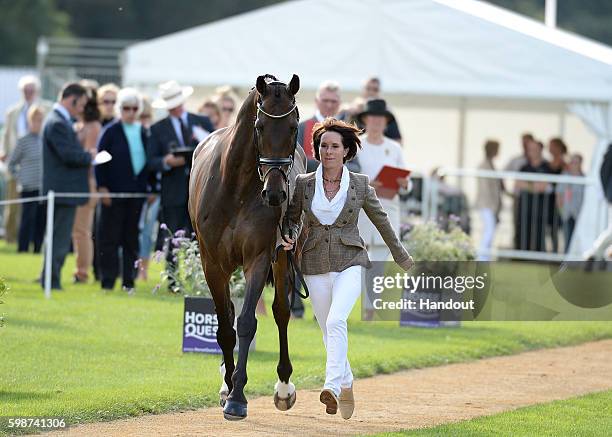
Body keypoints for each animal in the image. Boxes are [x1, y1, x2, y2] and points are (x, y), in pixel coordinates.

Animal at [188, 74, 304, 418]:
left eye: (293, 126)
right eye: (260, 126)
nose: (276, 194)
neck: (236, 186)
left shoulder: (259, 258)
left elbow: (247, 322)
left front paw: (238, 395)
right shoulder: (212, 263)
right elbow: (225, 325)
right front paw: (229, 387)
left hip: (283, 256)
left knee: (281, 312)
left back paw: (283, 386)